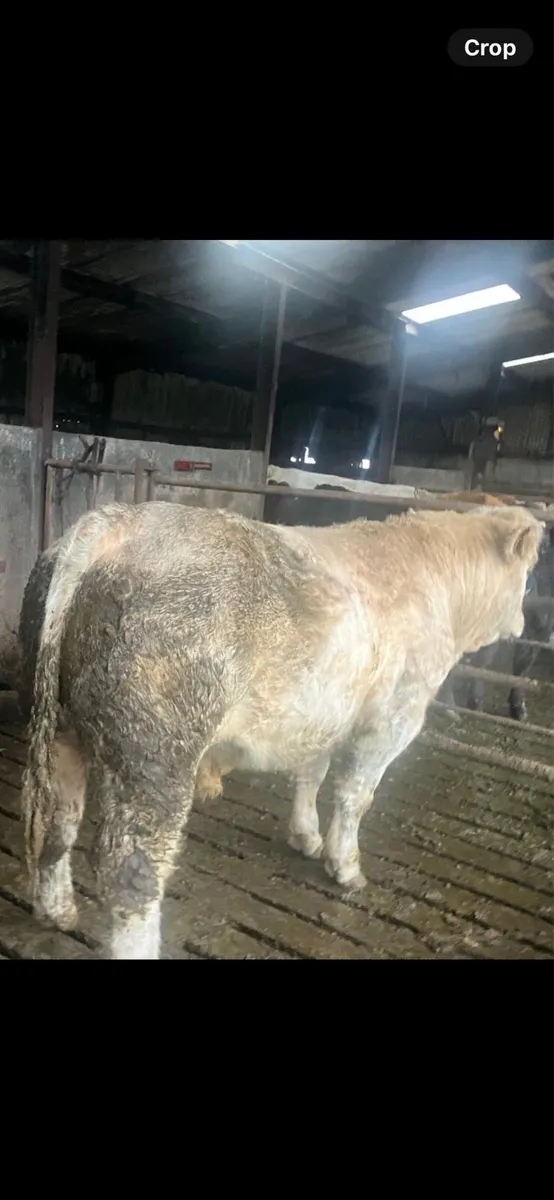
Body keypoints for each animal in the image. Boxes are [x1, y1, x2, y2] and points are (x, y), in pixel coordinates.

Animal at [20, 500, 543, 959]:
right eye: (529, 574)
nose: (523, 622)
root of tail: (115, 522)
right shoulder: (397, 713)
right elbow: (355, 793)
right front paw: (345, 865)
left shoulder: (325, 712)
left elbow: (312, 772)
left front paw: (306, 836)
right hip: (156, 757)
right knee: (131, 873)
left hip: (60, 728)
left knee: (60, 822)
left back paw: (58, 910)